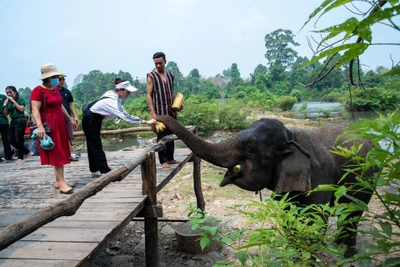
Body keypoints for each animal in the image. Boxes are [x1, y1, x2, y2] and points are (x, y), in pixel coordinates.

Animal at [156, 115, 376, 260]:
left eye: (250, 149)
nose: (156, 119)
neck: (291, 135)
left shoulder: (319, 176)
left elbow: (314, 219)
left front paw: (305, 260)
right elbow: (288, 214)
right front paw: (293, 257)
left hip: (368, 177)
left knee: (353, 212)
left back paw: (349, 256)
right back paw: (338, 247)